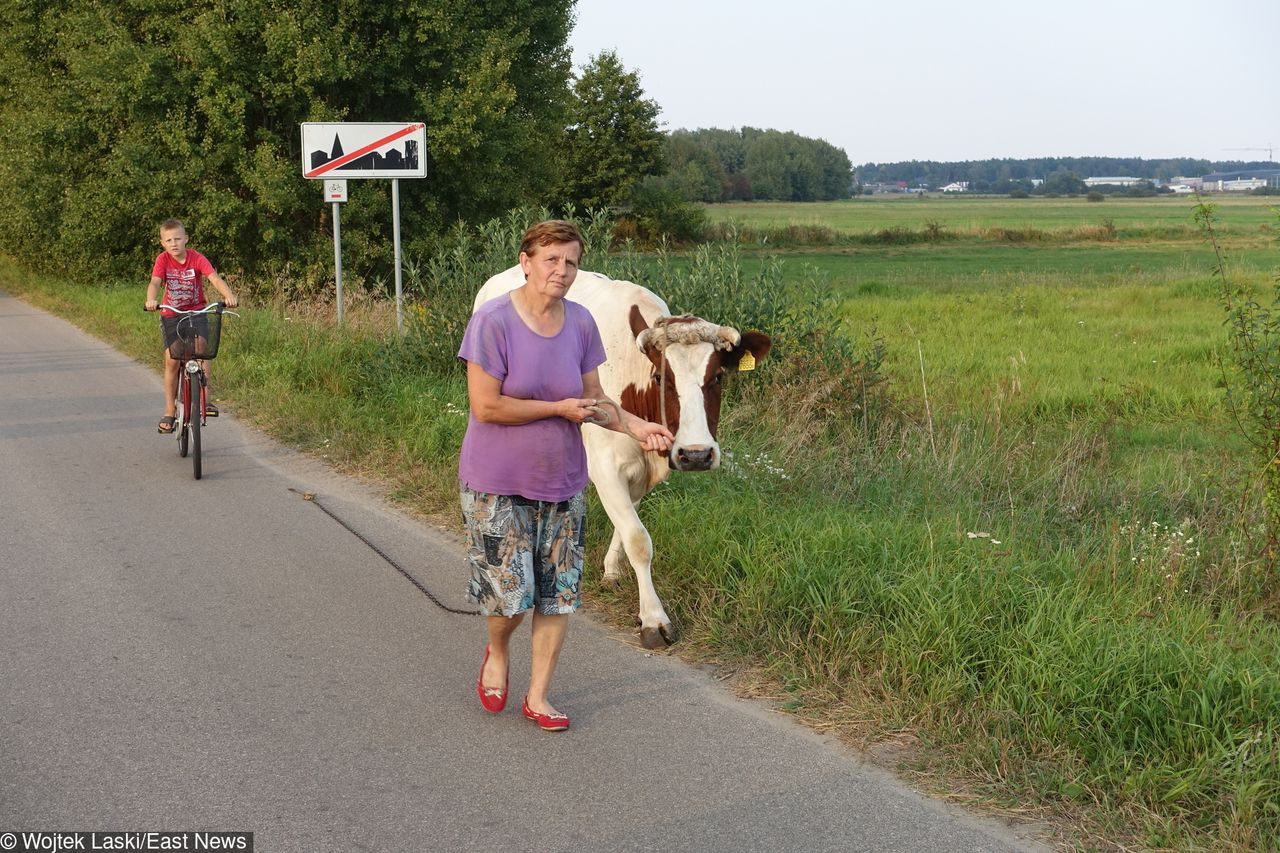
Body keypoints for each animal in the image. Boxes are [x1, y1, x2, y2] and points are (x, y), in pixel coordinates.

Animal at [473, 266, 762, 645]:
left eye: (717, 377)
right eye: (660, 378)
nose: (696, 454)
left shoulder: (641, 471)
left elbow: (627, 526)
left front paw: (611, 570)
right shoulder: (606, 466)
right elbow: (639, 539)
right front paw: (653, 619)